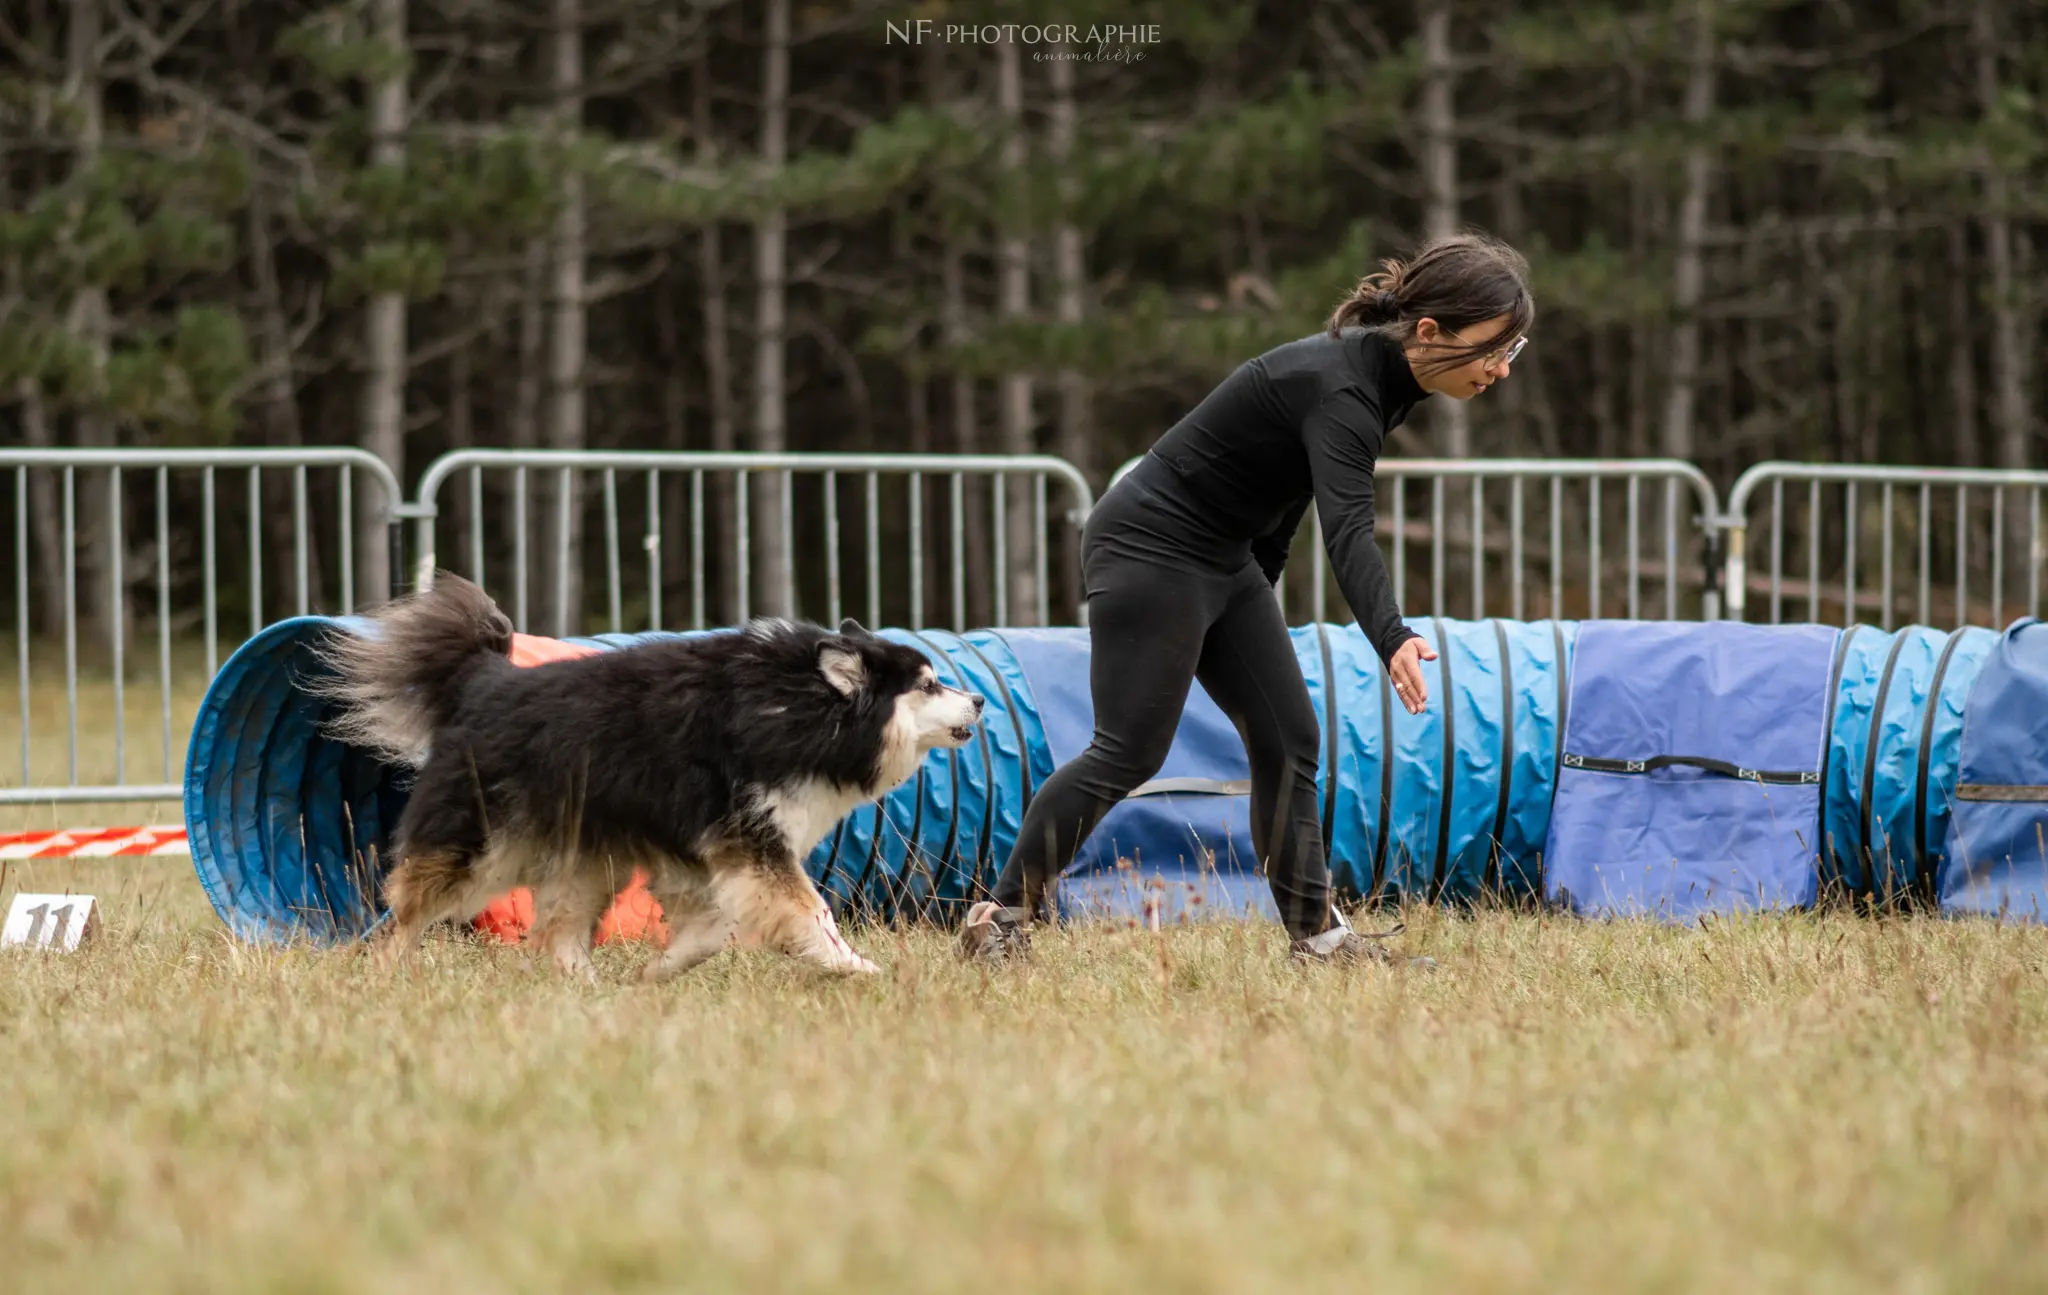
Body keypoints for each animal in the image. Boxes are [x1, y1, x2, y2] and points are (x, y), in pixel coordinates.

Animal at [315, 577, 987, 979]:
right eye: (930, 685)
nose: (980, 700)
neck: (799, 709)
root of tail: (484, 681)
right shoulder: (752, 840)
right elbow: (809, 911)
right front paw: (850, 964)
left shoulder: (704, 851)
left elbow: (713, 929)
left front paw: (657, 973)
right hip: (483, 848)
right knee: (408, 911)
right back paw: (384, 968)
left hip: (588, 856)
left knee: (558, 929)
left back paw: (585, 987)